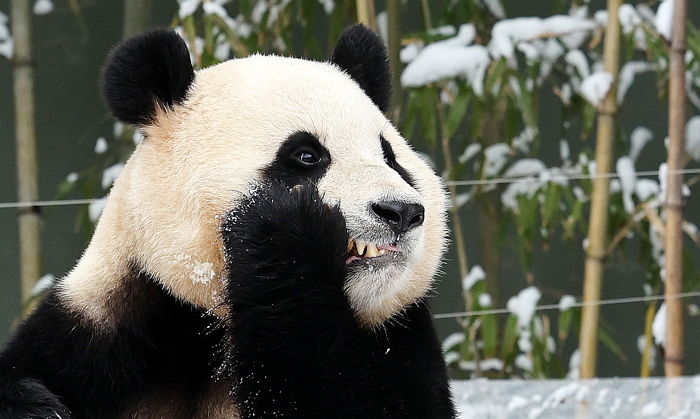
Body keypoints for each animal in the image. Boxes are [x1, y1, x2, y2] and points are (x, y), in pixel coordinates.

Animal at [0, 24, 454, 418]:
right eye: (307, 155)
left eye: (391, 158)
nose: (400, 211)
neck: (209, 326)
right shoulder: (98, 330)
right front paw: (37, 407)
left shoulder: (401, 335)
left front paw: (285, 238)